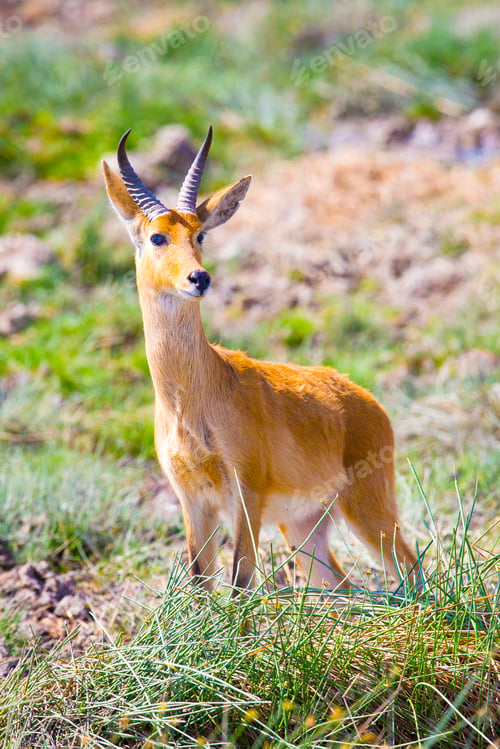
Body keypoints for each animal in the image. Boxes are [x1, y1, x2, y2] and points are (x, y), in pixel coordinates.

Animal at [103, 127, 419, 592]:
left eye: (200, 234)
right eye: (157, 236)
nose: (199, 278)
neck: (192, 399)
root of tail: (366, 400)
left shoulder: (246, 494)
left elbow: (240, 578)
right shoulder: (192, 501)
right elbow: (200, 582)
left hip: (366, 510)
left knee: (412, 570)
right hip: (304, 529)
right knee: (342, 586)